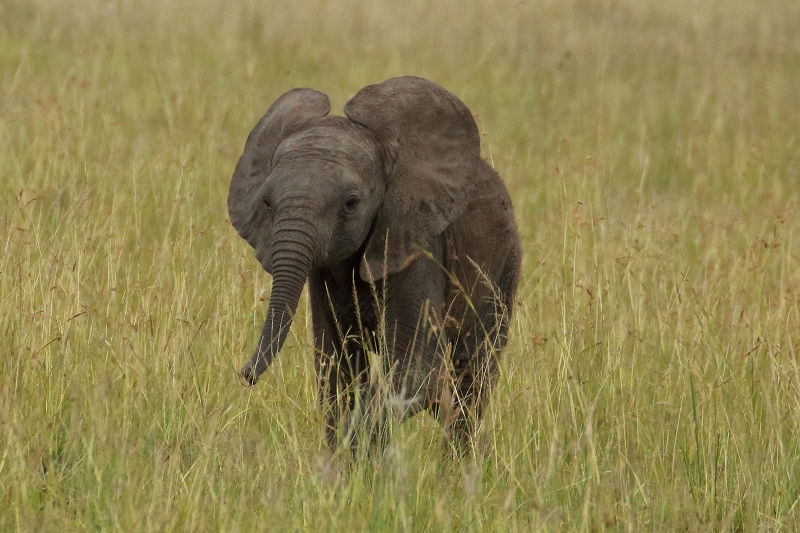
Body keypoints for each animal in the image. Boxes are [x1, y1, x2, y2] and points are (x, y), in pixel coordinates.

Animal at [228, 74, 520, 448]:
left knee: (473, 378)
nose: (245, 374)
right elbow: (337, 369)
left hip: (505, 265)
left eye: (351, 203)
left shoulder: (416, 242)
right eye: (266, 203)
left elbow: (413, 368)